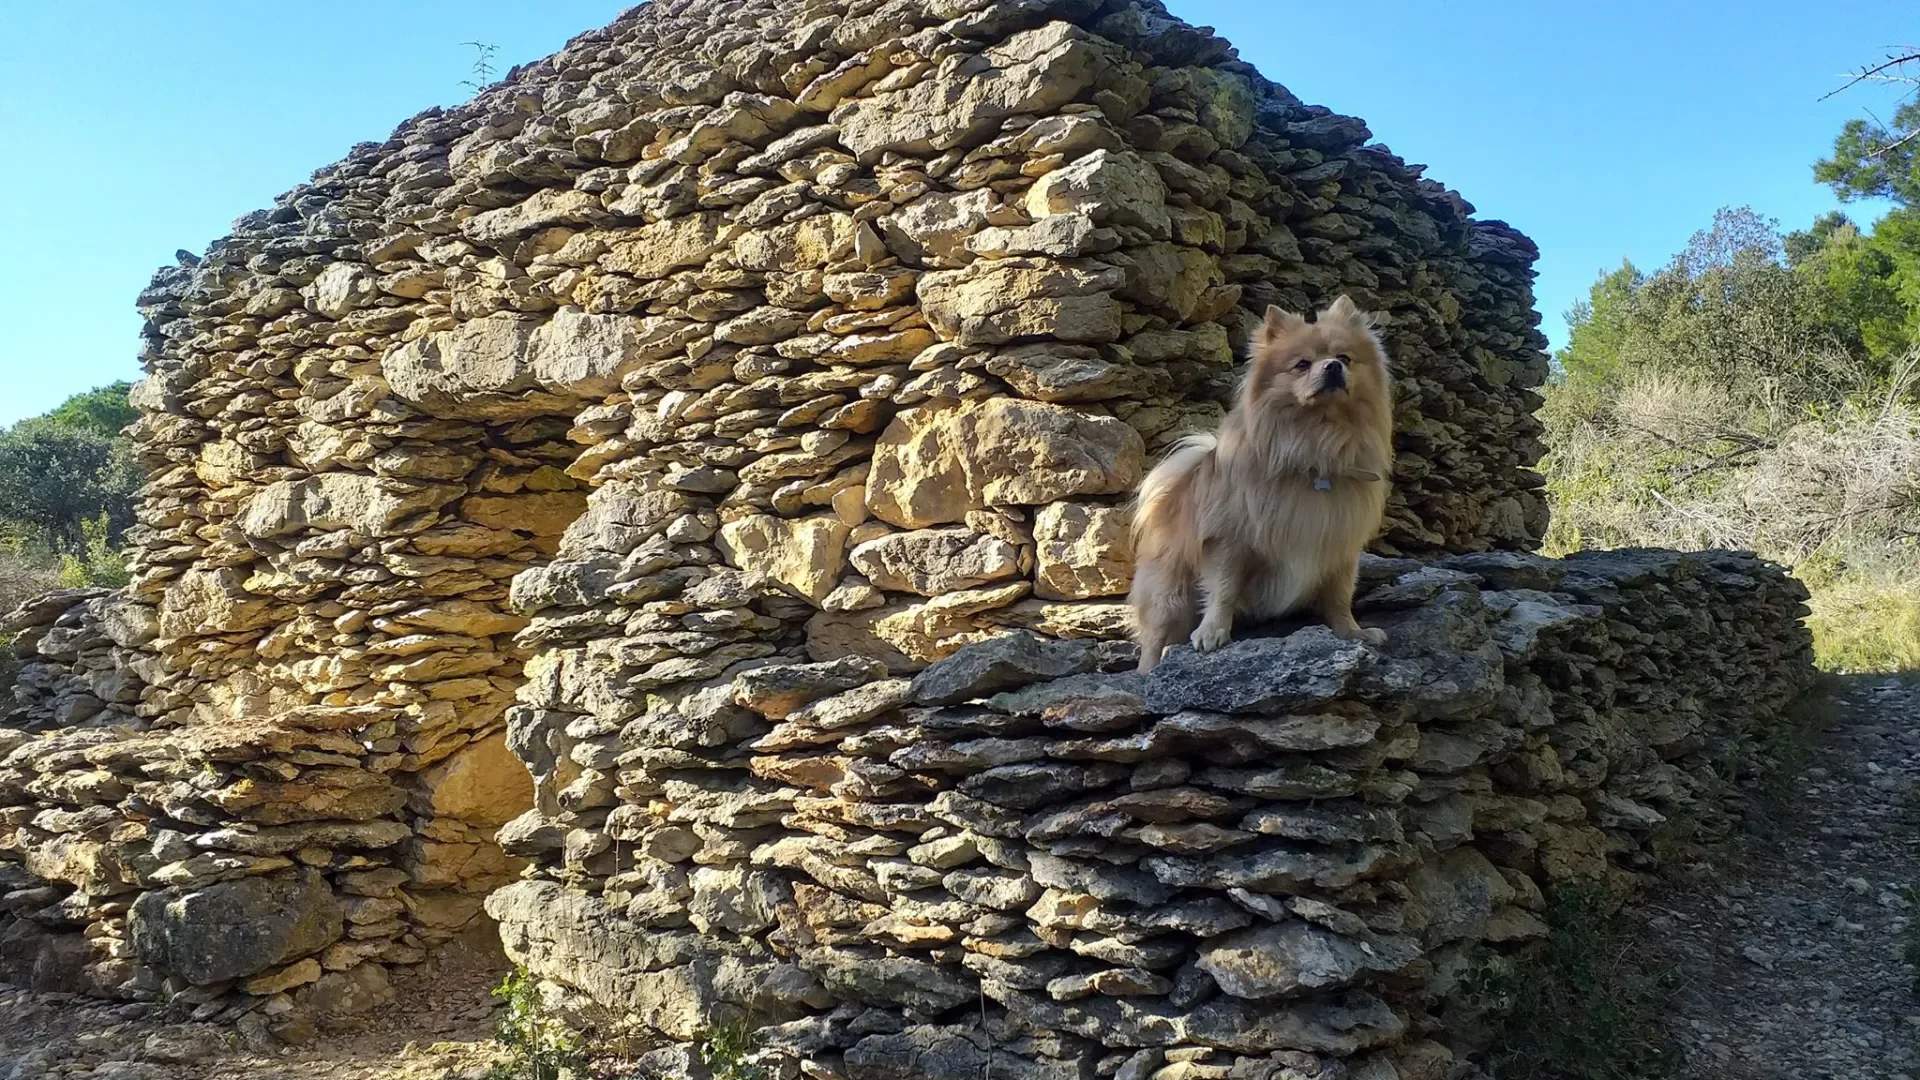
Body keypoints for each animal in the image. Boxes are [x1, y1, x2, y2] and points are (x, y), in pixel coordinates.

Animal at [1121, 292, 1397, 664]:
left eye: (1344, 358)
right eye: (1302, 364)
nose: (1332, 367)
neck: (1316, 445)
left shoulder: (1339, 544)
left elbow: (1339, 596)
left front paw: (1353, 632)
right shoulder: (1231, 540)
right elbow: (1223, 589)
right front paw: (1213, 632)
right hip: (1169, 593)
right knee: (1154, 642)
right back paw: (1150, 670)